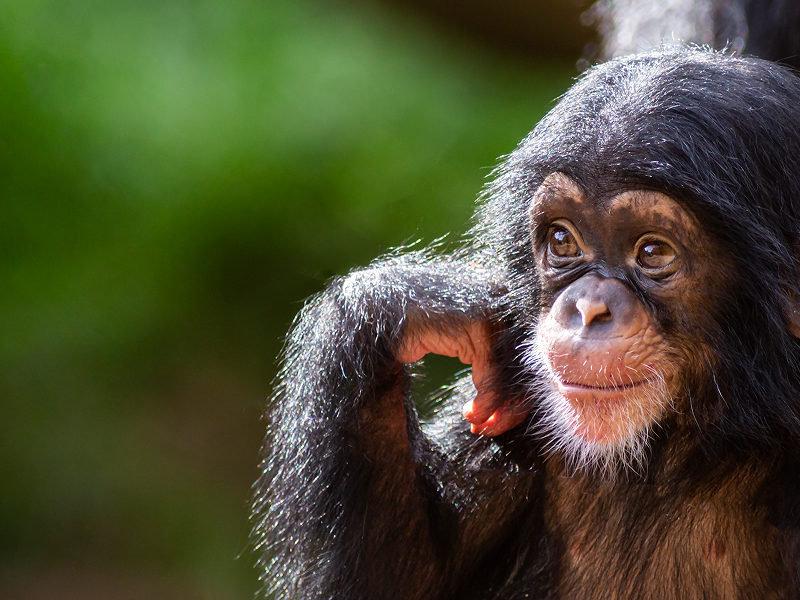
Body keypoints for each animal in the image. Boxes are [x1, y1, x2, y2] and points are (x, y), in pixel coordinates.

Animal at [253, 47, 800, 599]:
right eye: (562, 241)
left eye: (652, 252)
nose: (589, 308)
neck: (676, 451)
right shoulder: (510, 409)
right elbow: (400, 576)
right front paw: (417, 301)